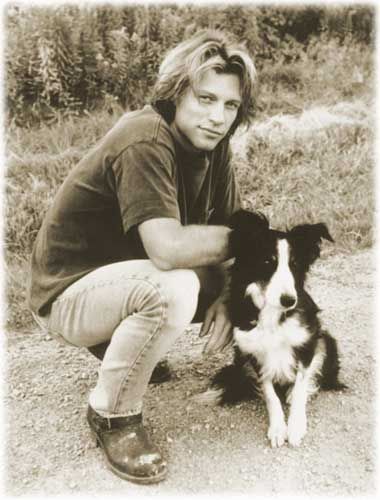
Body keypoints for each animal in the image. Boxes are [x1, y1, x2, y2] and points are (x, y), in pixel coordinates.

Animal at [202, 211, 348, 450]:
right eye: (267, 261)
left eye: (295, 264)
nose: (289, 300)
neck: (273, 313)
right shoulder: (252, 351)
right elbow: (269, 393)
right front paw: (278, 428)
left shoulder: (306, 342)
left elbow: (300, 387)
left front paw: (296, 426)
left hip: (325, 340)